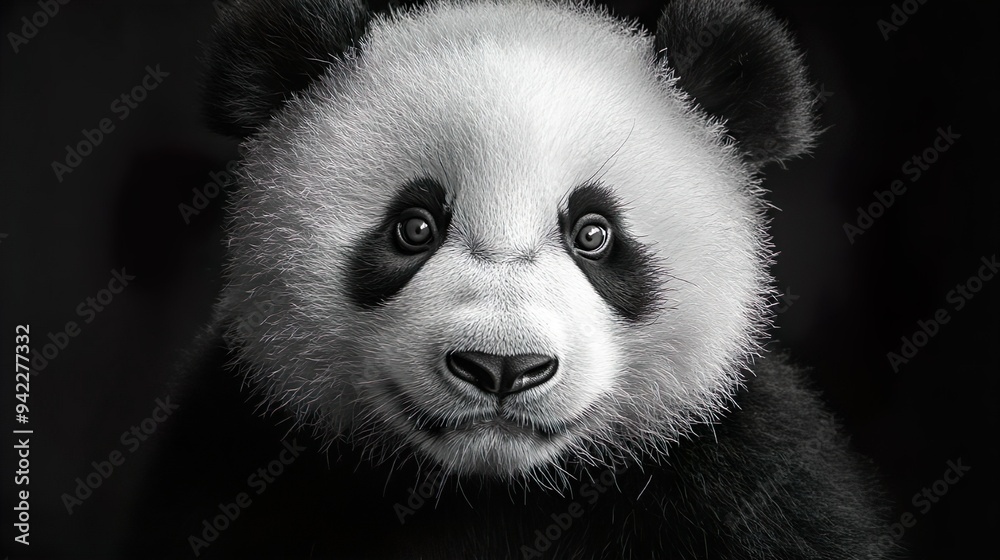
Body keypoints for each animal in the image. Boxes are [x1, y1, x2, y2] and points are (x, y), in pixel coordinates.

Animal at [126, 0, 896, 558]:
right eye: (413, 228)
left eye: (594, 234)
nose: (502, 366)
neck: (495, 491)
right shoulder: (239, 457)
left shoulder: (749, 482)